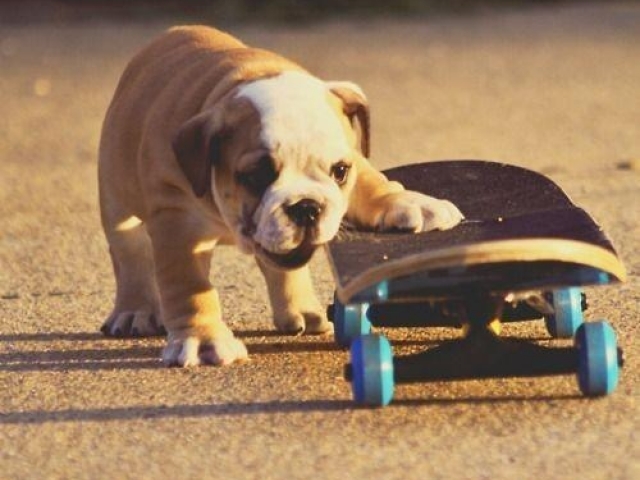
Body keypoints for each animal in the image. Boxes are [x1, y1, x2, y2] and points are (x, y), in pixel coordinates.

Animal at [97, 26, 462, 368]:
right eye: (257, 175)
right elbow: (188, 287)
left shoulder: (354, 156)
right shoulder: (176, 221)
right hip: (116, 198)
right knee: (129, 253)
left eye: (340, 171)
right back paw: (134, 312)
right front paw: (201, 339)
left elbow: (371, 179)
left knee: (281, 267)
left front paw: (411, 202)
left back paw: (301, 311)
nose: (307, 207)